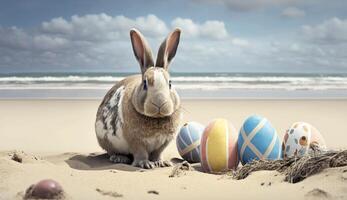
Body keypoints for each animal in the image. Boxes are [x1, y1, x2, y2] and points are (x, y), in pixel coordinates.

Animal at [94, 28, 184, 169]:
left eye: (170, 83)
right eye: (145, 83)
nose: (160, 103)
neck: (156, 119)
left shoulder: (164, 142)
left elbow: (158, 153)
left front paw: (161, 162)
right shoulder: (135, 140)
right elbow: (140, 152)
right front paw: (145, 164)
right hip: (105, 140)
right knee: (111, 152)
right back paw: (119, 158)